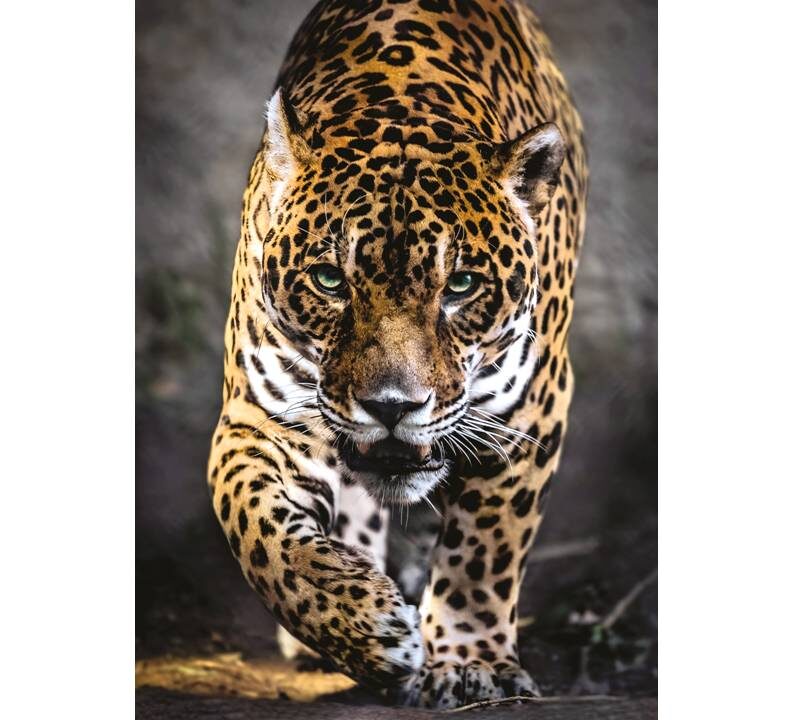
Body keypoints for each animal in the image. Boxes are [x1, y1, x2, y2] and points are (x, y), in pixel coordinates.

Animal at [208, 0, 587, 708]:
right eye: (330, 280)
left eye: (460, 285)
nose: (392, 407)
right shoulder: (259, 416)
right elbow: (257, 529)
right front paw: (365, 627)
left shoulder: (528, 414)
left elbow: (484, 550)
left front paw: (469, 663)